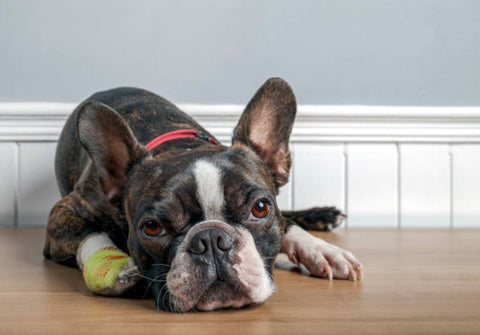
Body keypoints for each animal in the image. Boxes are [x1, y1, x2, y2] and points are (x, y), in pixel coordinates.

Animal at [44, 78, 364, 312]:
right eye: (151, 228)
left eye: (261, 208)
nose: (211, 239)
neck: (181, 146)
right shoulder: (67, 211)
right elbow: (93, 235)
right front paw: (118, 269)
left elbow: (286, 225)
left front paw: (324, 251)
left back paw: (322, 216)